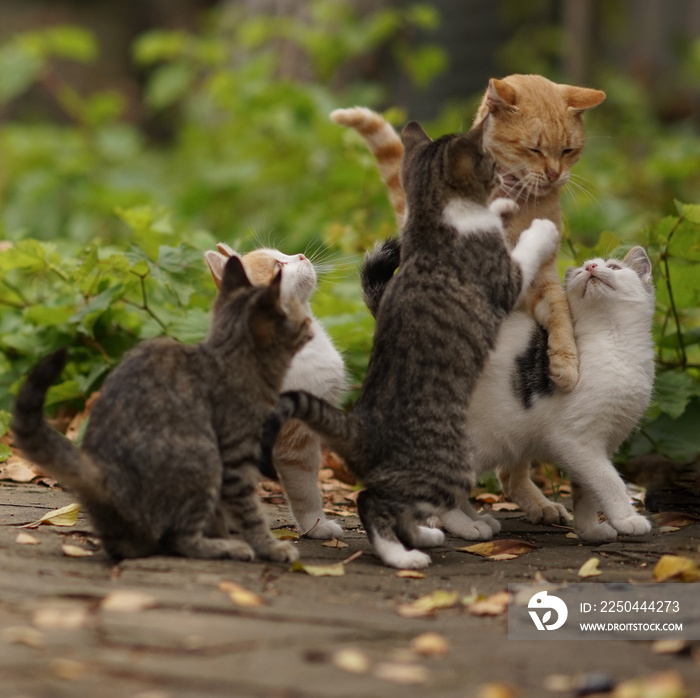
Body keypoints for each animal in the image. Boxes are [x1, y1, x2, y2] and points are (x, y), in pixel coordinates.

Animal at [10, 256, 312, 560]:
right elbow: (249, 510)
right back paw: (225, 547)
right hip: (203, 459)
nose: (311, 325)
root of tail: (104, 479)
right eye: (302, 317)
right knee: (180, 538)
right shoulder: (236, 454)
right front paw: (270, 547)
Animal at [260, 121, 556, 564]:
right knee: (374, 500)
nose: (504, 181)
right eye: (489, 161)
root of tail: (362, 429)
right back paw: (407, 553)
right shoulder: (504, 280)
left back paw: (422, 537)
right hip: (448, 459)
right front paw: (542, 230)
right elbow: (524, 253)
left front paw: (502, 210)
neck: (436, 223)